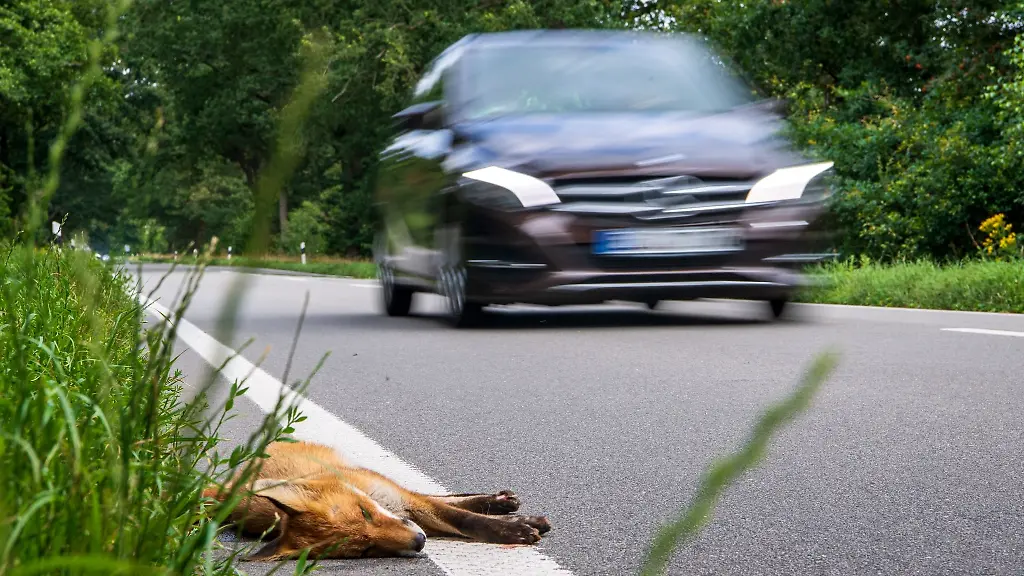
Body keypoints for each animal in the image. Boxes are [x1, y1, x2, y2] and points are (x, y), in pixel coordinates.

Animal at [202, 439, 552, 560]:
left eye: (365, 513)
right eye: (365, 550)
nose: (420, 541)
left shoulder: (405, 501)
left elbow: (465, 519)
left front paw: (515, 527)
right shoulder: (413, 513)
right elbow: (462, 519)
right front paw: (517, 526)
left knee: (443, 496)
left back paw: (502, 502)